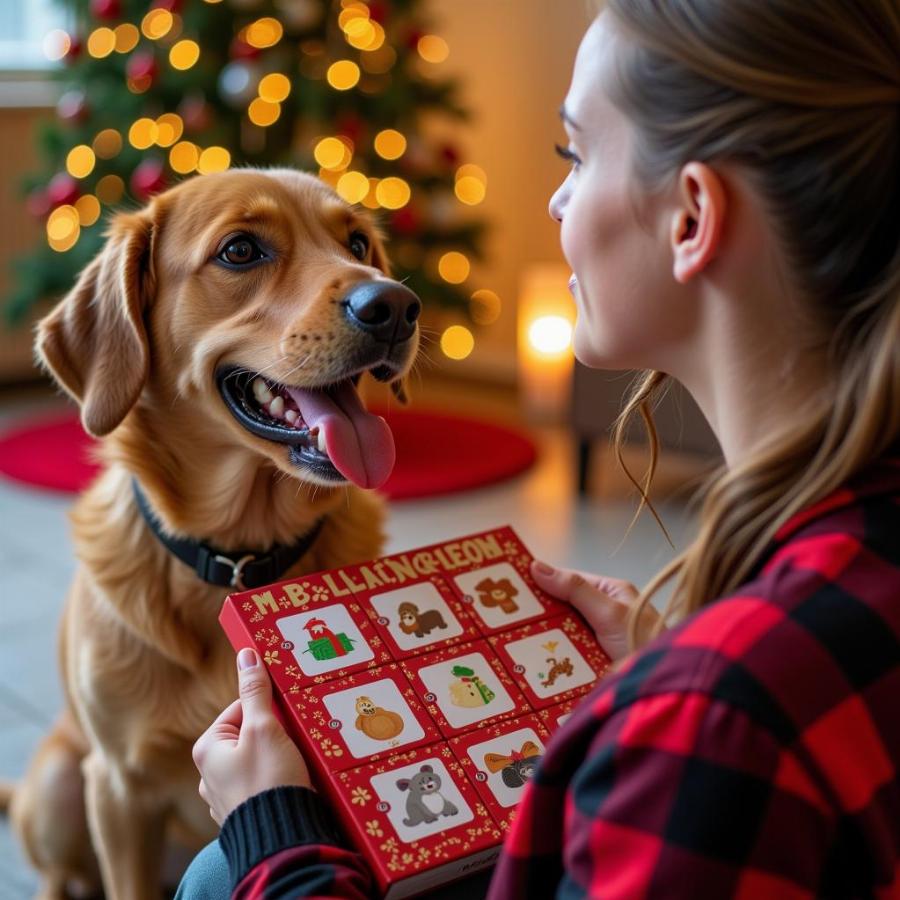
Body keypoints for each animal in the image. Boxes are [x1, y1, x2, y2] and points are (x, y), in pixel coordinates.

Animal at [3, 169, 420, 900]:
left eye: (358, 244)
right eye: (240, 251)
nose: (396, 306)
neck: (238, 554)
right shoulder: (117, 786)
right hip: (59, 783)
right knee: (61, 874)